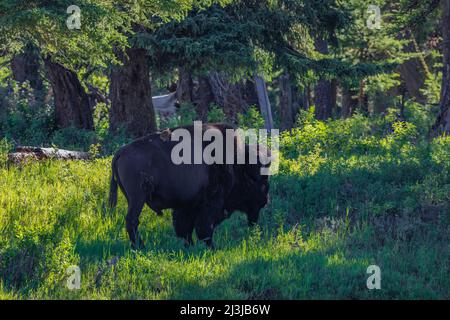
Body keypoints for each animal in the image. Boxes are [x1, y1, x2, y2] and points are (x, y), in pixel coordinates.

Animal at [109, 123, 270, 250]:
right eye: (261, 182)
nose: (266, 201)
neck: (238, 165)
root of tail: (120, 152)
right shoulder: (211, 204)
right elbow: (204, 228)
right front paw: (211, 248)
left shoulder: (187, 206)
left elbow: (185, 228)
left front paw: (189, 246)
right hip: (138, 198)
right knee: (132, 221)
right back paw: (140, 246)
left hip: (134, 199)